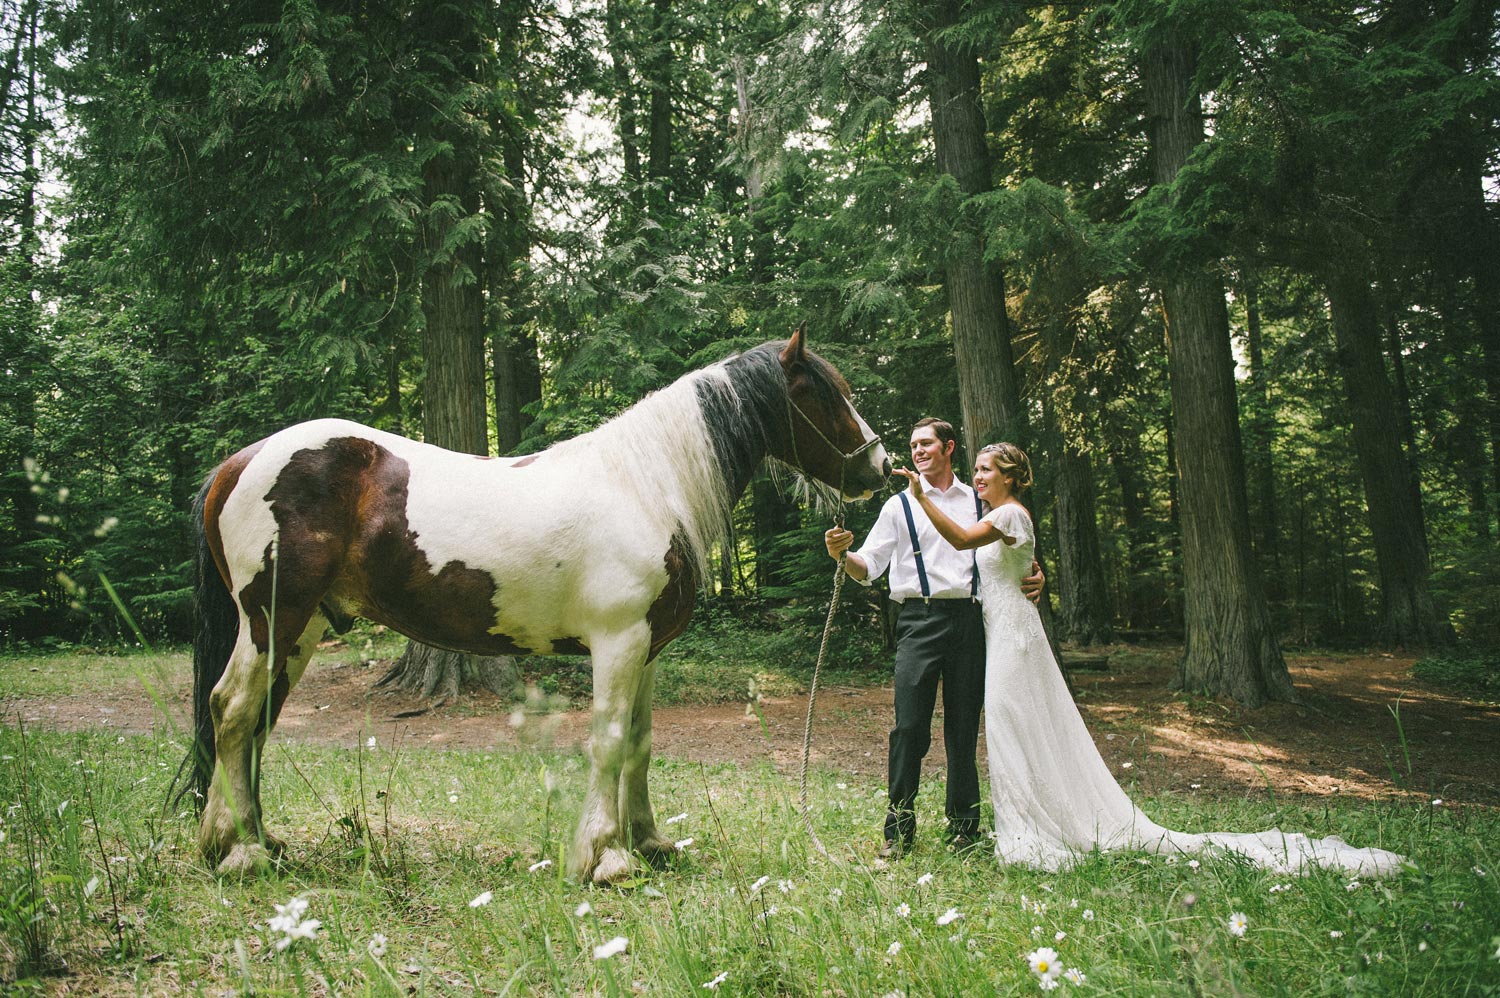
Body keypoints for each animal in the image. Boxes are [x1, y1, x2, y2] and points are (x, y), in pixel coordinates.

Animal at [186, 333, 888, 882]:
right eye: (827, 394)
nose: (880, 467)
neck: (645, 487)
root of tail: (239, 462)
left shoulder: (648, 651)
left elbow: (640, 743)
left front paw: (648, 841)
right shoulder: (618, 643)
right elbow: (608, 741)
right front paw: (605, 858)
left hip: (300, 631)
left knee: (258, 720)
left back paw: (252, 839)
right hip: (269, 621)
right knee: (232, 709)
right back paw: (240, 851)